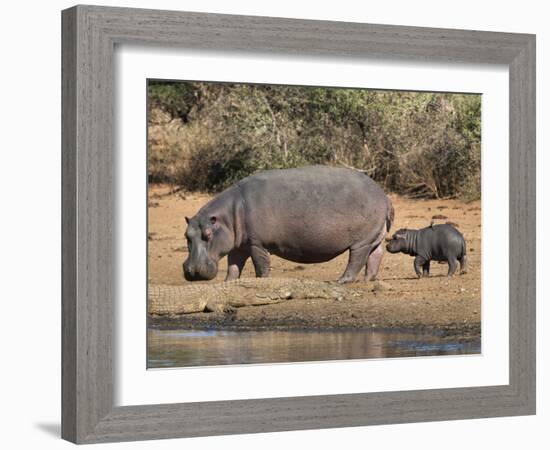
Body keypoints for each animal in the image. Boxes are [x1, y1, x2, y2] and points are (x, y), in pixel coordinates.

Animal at [183, 165, 394, 284]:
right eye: (187, 236)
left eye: (208, 234)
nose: (192, 271)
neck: (228, 215)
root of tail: (383, 195)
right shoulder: (238, 245)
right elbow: (233, 266)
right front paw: (228, 283)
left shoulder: (256, 244)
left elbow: (261, 266)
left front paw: (261, 281)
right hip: (375, 237)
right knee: (375, 255)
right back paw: (368, 279)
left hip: (361, 241)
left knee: (356, 260)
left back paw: (341, 281)